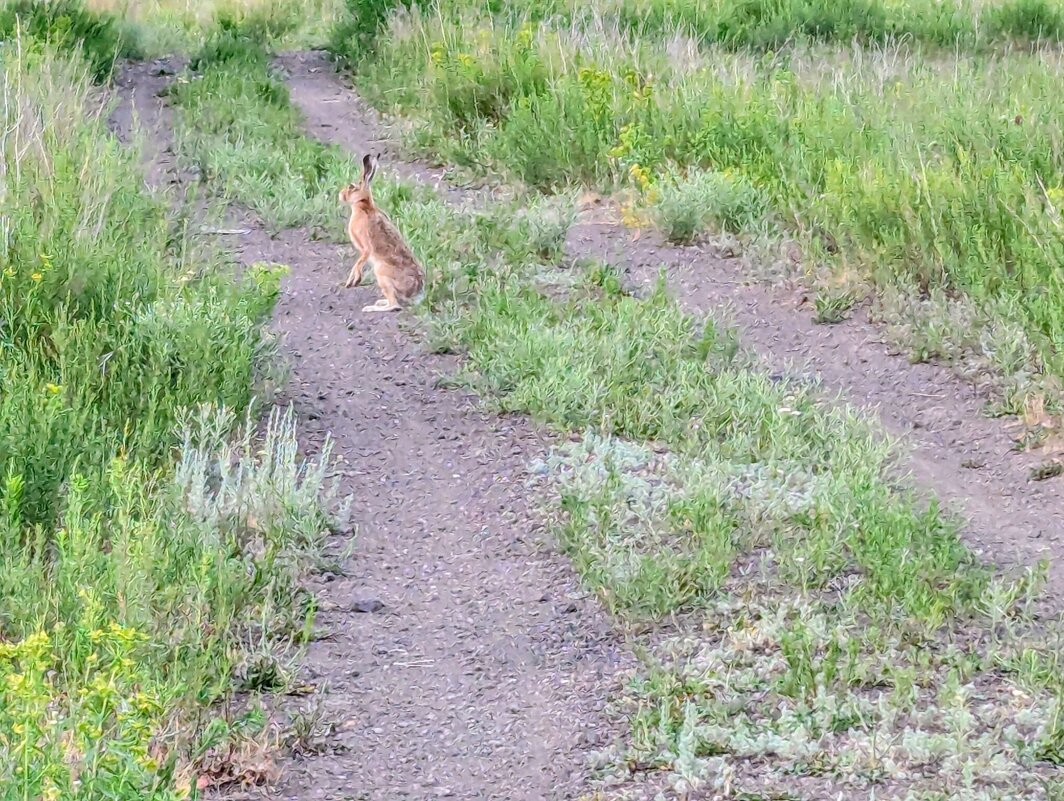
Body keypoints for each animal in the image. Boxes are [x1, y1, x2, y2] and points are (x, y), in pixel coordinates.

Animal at [338, 153, 425, 313]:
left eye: (351, 187)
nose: (340, 195)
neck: (363, 205)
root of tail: (415, 293)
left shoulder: (366, 246)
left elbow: (360, 260)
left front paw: (352, 281)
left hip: (381, 273)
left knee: (395, 305)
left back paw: (371, 308)